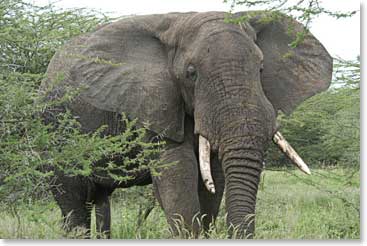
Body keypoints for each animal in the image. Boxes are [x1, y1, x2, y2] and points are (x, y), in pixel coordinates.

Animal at [42, 11, 334, 238]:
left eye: (261, 69)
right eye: (191, 74)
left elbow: (213, 179)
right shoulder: (153, 104)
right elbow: (178, 175)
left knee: (100, 200)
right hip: (55, 129)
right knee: (74, 203)